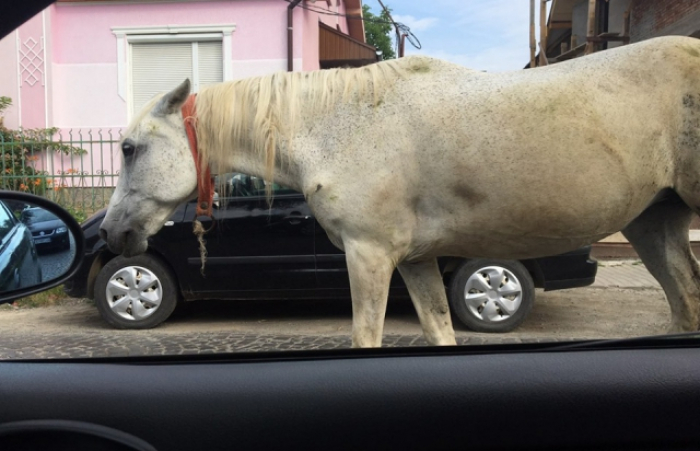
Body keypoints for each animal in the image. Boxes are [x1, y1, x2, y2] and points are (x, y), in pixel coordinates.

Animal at [100, 37, 700, 348]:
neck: (336, 126)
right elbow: (439, 330)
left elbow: (366, 336)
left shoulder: (369, 256)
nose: (109, 233)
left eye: (129, 148)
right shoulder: (415, 260)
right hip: (653, 222)